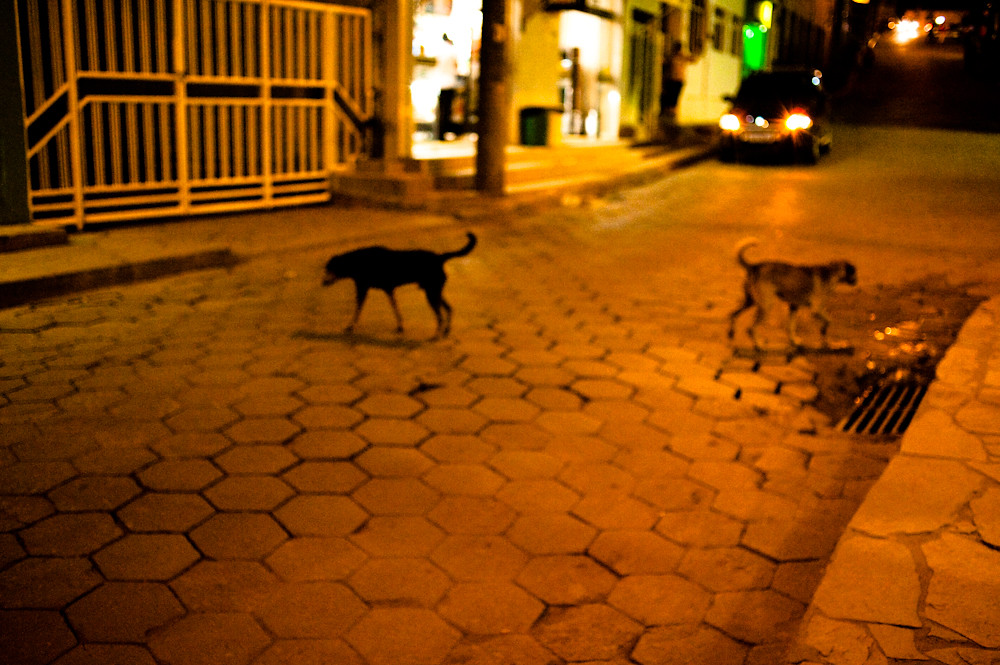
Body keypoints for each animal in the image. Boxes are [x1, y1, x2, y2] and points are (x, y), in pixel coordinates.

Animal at [322, 233, 474, 338]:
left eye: (329, 269)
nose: (322, 282)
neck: (356, 262)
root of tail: (440, 257)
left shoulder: (363, 289)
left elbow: (357, 310)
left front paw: (350, 326)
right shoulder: (388, 290)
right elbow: (395, 308)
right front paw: (400, 326)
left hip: (431, 293)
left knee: (440, 316)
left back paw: (437, 334)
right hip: (435, 292)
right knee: (449, 309)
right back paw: (446, 331)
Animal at [728, 241, 860, 350]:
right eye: (854, 272)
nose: (857, 281)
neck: (831, 272)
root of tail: (754, 266)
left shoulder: (794, 307)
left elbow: (791, 327)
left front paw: (794, 342)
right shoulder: (816, 310)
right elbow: (828, 320)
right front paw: (824, 334)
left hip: (749, 302)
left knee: (733, 314)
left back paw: (731, 333)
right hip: (766, 305)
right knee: (751, 329)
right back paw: (758, 345)